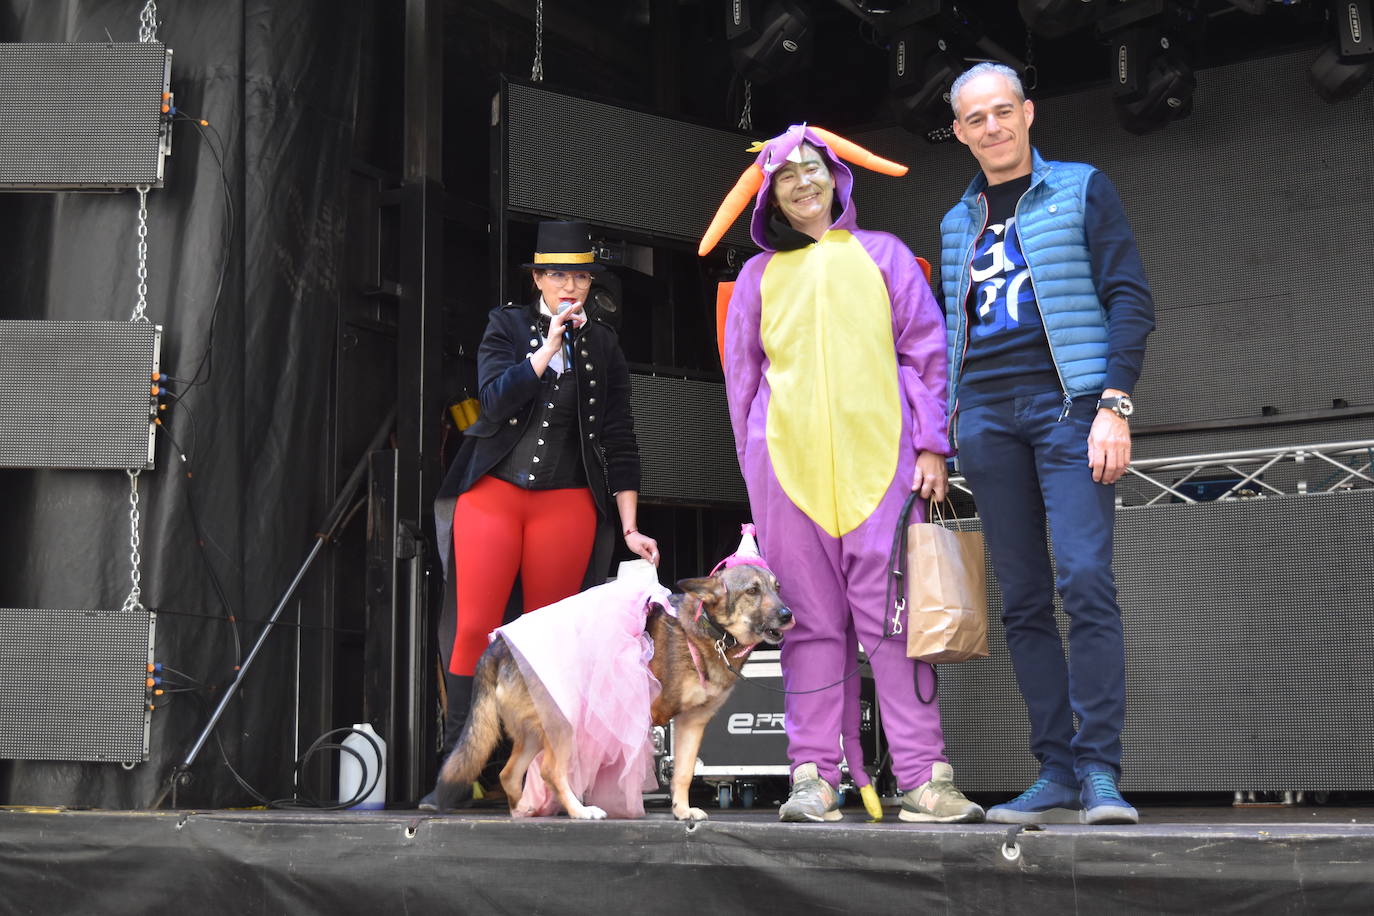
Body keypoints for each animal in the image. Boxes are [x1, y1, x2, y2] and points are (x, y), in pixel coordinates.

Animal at [428, 565, 796, 823]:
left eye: (778, 588)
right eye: (752, 590)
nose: (788, 614)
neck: (710, 632)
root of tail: (499, 646)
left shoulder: (692, 723)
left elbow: (683, 773)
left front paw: (682, 811)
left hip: (534, 730)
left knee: (509, 772)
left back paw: (523, 812)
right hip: (563, 725)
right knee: (549, 771)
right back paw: (579, 811)